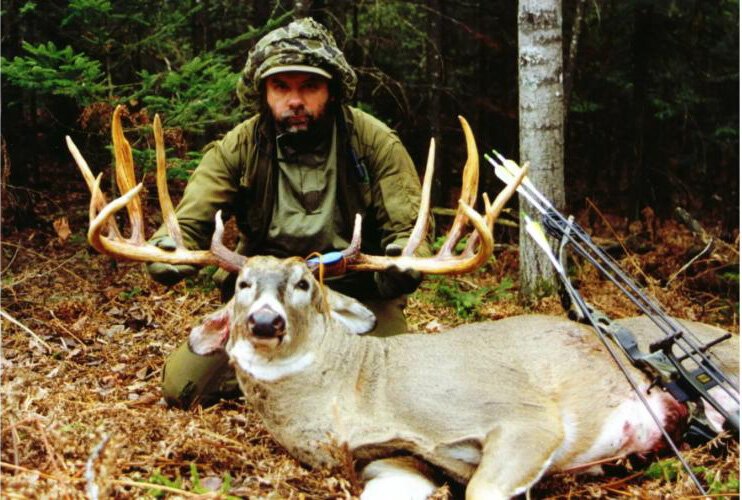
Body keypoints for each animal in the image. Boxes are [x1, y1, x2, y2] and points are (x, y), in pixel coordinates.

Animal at [68, 107, 740, 498]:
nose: (262, 323)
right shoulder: (388, 462)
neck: (358, 399)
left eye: (304, 285)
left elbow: (485, 485)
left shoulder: (524, 418)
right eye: (240, 286)